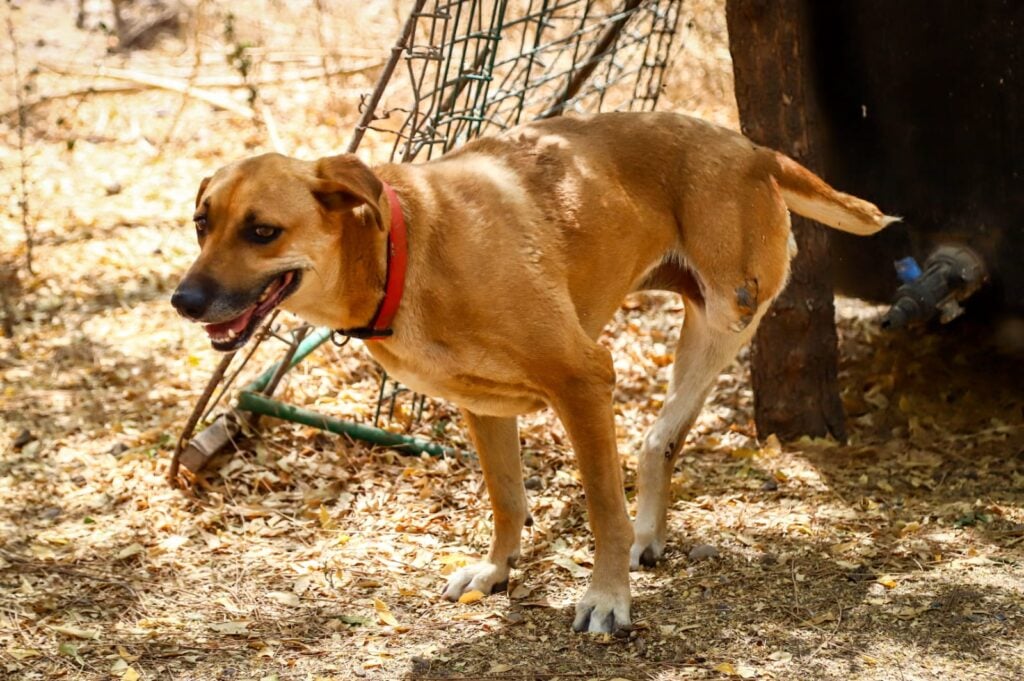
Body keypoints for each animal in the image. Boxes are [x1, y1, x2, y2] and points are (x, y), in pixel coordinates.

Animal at [174, 110, 897, 630]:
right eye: (202, 223)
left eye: (262, 231)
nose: (184, 300)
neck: (403, 251)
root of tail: (749, 148)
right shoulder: (485, 407)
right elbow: (507, 498)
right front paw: (497, 570)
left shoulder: (584, 380)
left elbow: (602, 507)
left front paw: (607, 597)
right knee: (659, 440)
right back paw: (650, 535)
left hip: (727, 318)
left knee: (658, 439)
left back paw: (639, 536)